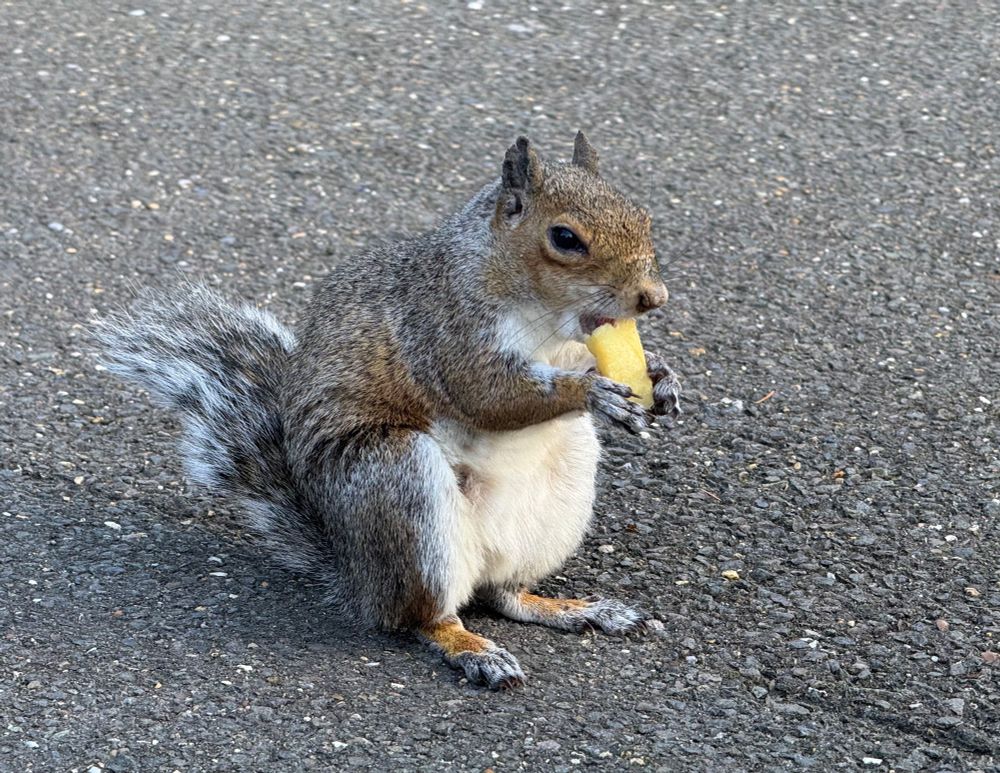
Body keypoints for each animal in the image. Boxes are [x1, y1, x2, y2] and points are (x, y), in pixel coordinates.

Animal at [94, 132, 682, 689]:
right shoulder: (442, 332)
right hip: (398, 482)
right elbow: (489, 396)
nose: (654, 297)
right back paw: (474, 650)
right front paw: (593, 393)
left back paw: (576, 610)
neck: (545, 316)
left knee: (503, 596)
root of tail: (359, 578)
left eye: (643, 216)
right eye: (565, 238)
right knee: (425, 616)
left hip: (557, 499)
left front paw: (662, 377)